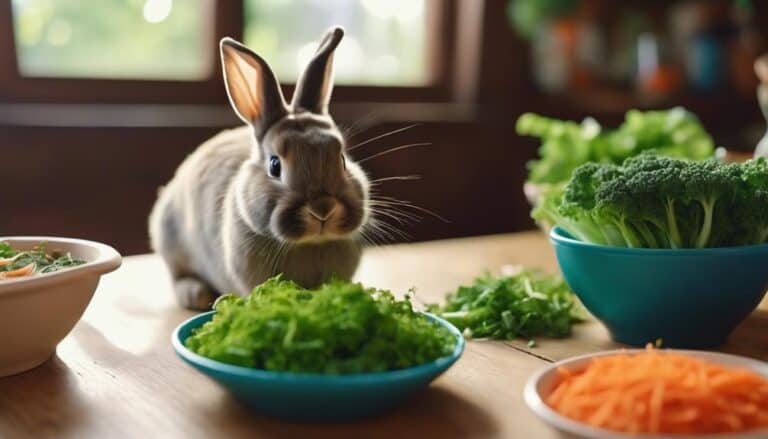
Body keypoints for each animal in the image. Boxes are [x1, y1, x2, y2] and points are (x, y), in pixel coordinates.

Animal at [149, 27, 371, 310]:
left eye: (342, 159)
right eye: (275, 165)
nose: (323, 209)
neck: (308, 244)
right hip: (170, 240)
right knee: (178, 273)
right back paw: (196, 294)